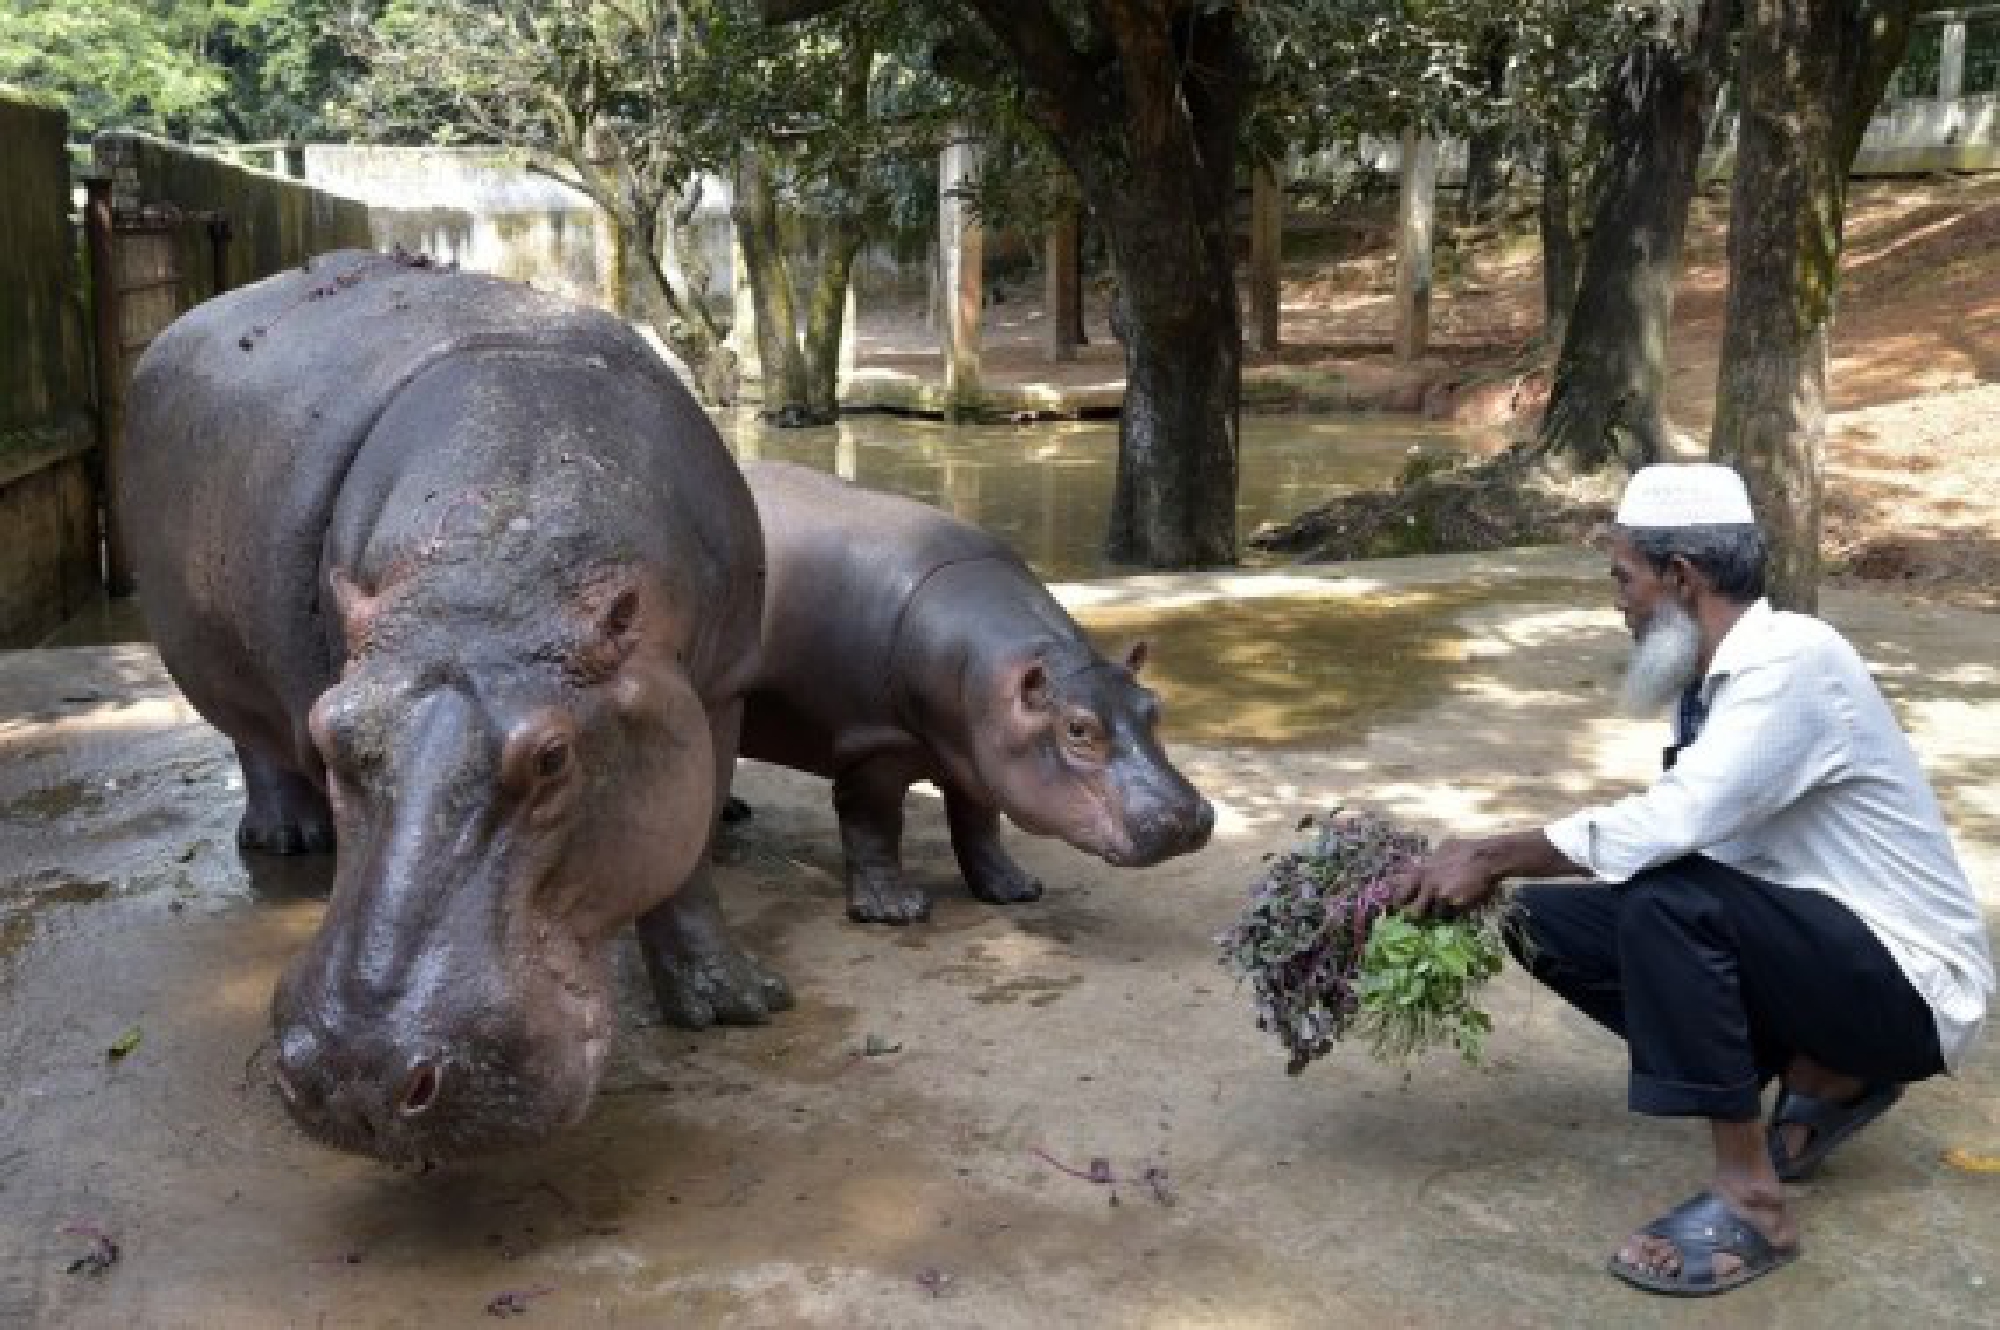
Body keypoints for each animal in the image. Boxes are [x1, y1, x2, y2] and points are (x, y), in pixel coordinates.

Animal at [121, 251, 789, 1163]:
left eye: (553, 756)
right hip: (207, 644)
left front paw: (734, 1005)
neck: (502, 552)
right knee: (248, 738)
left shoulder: (717, 693)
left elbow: (684, 867)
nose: (357, 1078)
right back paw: (288, 838)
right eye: (331, 733)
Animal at [736, 461, 1214, 923]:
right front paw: (896, 911)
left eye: (1154, 706)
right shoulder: (873, 742)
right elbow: (873, 826)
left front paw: (1016, 889)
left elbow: (979, 823)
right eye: (1077, 728)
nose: (1190, 819)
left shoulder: (980, 752)